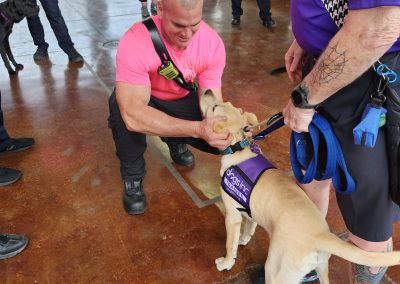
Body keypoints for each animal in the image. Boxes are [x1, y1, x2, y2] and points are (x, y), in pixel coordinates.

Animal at [202, 90, 400, 284]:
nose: (207, 90)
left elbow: (230, 244)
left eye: (214, 108)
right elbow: (248, 229)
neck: (239, 148)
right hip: (321, 268)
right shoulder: (249, 213)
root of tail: (320, 235)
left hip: (276, 272)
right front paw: (243, 239)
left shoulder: (232, 216)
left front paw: (226, 262)